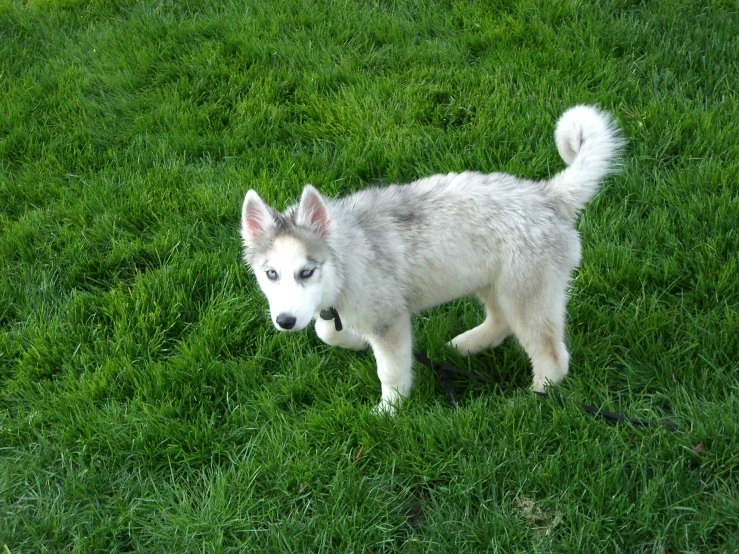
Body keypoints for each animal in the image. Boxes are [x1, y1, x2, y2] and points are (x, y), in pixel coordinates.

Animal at [243, 105, 624, 412]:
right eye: (271, 274)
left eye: (307, 272)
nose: (285, 322)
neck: (349, 253)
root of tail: (548, 195)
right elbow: (326, 330)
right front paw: (353, 340)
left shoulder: (389, 320)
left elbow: (390, 370)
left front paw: (389, 410)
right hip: (488, 278)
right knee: (501, 320)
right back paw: (468, 344)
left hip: (528, 293)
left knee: (553, 358)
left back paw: (530, 399)